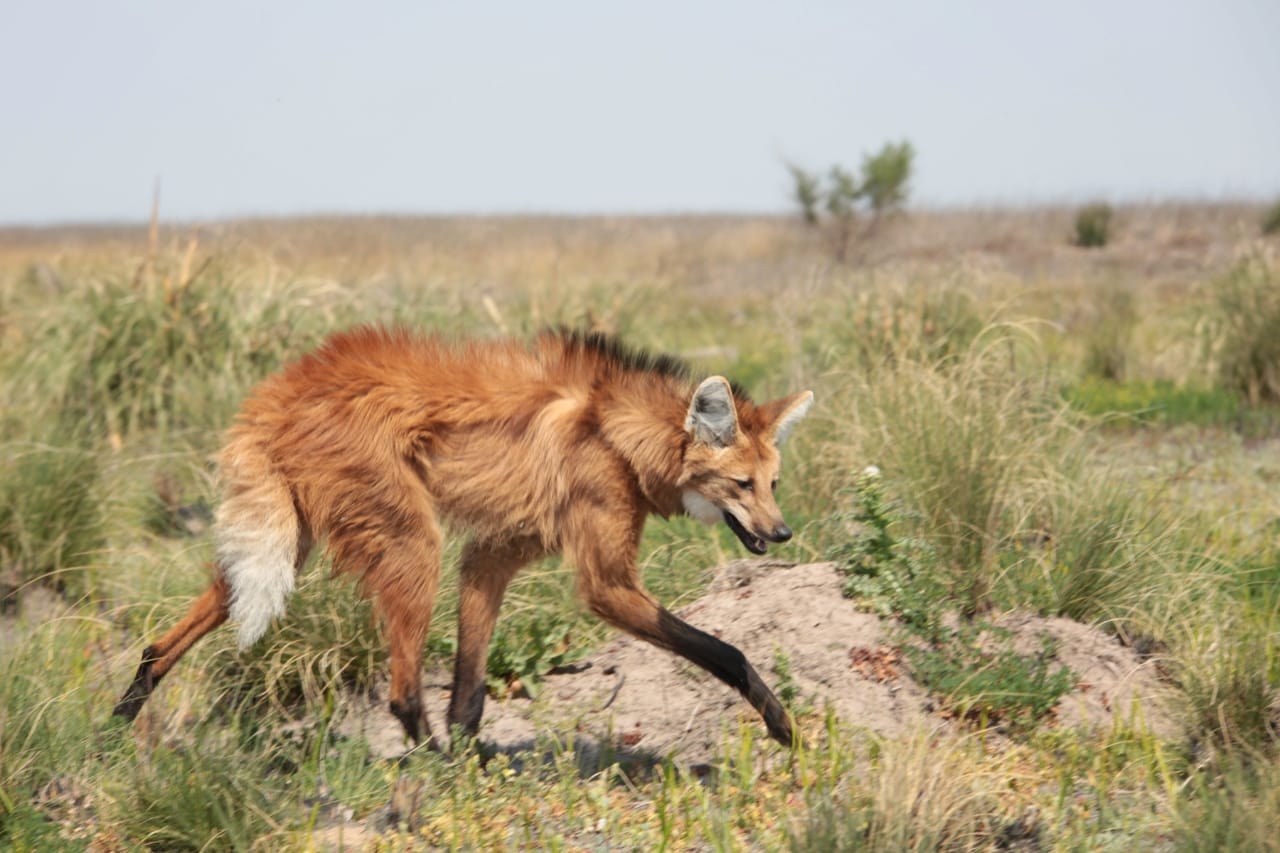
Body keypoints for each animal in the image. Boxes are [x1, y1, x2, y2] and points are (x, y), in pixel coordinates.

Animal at [110, 325, 808, 742]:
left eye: (774, 482)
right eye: (742, 485)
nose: (782, 533)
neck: (621, 434)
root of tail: (283, 387)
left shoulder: (495, 553)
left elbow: (470, 686)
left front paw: (472, 761)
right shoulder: (606, 583)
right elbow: (725, 651)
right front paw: (783, 725)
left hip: (293, 537)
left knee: (167, 638)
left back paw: (118, 722)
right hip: (408, 541)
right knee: (399, 692)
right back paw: (423, 764)